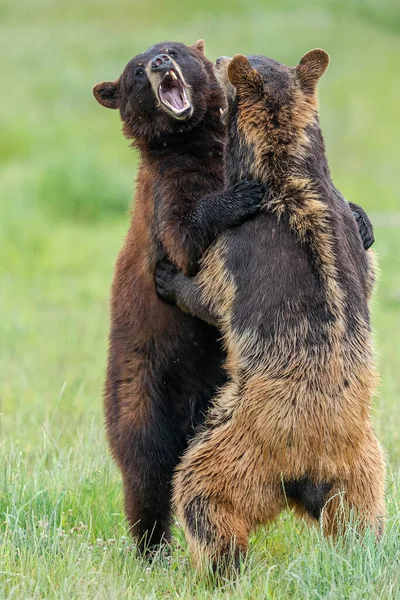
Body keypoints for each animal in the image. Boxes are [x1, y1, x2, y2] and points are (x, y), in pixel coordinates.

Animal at [92, 38, 268, 552]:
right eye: (135, 72)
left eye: (172, 49)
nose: (158, 62)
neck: (193, 143)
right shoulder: (168, 191)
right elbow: (185, 236)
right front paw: (242, 196)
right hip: (141, 392)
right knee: (146, 470)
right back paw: (152, 548)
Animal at [155, 49, 384, 568]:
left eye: (231, 62)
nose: (218, 56)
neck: (288, 171)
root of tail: (312, 467)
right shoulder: (350, 236)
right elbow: (369, 264)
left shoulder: (235, 245)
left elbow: (211, 293)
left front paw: (168, 276)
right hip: (366, 467)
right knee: (364, 518)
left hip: (234, 447)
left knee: (202, 495)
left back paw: (216, 564)